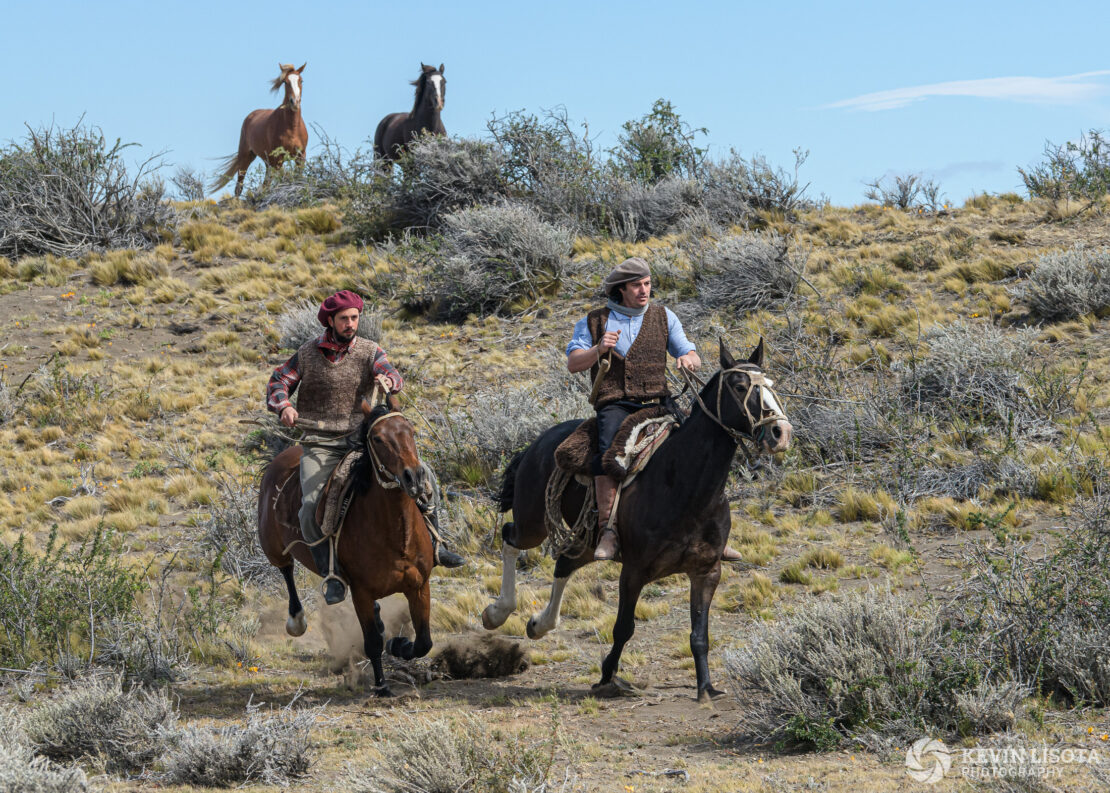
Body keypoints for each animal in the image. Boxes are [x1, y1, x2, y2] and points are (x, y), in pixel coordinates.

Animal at [210, 62, 308, 197]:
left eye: (301, 80)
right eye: (285, 82)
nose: (295, 102)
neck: (292, 128)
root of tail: (251, 115)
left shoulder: (300, 156)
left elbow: (298, 179)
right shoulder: (278, 159)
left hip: (267, 162)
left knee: (265, 183)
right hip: (245, 156)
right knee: (239, 187)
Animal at [257, 395, 435, 693]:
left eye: (410, 430)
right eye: (377, 438)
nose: (414, 477)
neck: (397, 537)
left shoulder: (419, 585)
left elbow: (424, 643)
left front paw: (399, 644)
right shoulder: (361, 592)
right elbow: (372, 642)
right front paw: (382, 687)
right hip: (272, 547)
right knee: (286, 570)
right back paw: (297, 620)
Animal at [481, 337, 794, 701]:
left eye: (771, 384)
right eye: (741, 386)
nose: (780, 432)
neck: (684, 486)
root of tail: (536, 444)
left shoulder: (706, 572)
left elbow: (699, 634)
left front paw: (706, 688)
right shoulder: (633, 571)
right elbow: (624, 628)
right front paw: (608, 677)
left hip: (586, 542)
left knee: (564, 564)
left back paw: (539, 624)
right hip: (534, 523)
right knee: (510, 537)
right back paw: (496, 612)